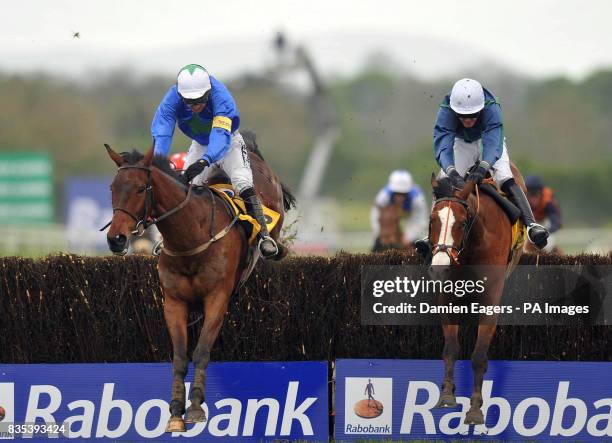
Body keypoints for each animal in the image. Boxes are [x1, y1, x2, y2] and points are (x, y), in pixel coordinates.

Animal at [105, 135, 296, 434]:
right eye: (113, 188)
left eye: (140, 188)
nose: (116, 239)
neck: (190, 238)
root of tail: (252, 150)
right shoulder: (174, 303)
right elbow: (180, 356)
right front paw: (175, 412)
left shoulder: (217, 299)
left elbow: (202, 352)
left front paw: (195, 407)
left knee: (251, 195)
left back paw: (270, 243)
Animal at [428, 166, 524, 426]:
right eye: (432, 221)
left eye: (462, 223)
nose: (439, 268)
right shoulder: (447, 295)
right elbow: (451, 347)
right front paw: (447, 395)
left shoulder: (490, 299)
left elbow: (479, 356)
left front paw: (474, 409)